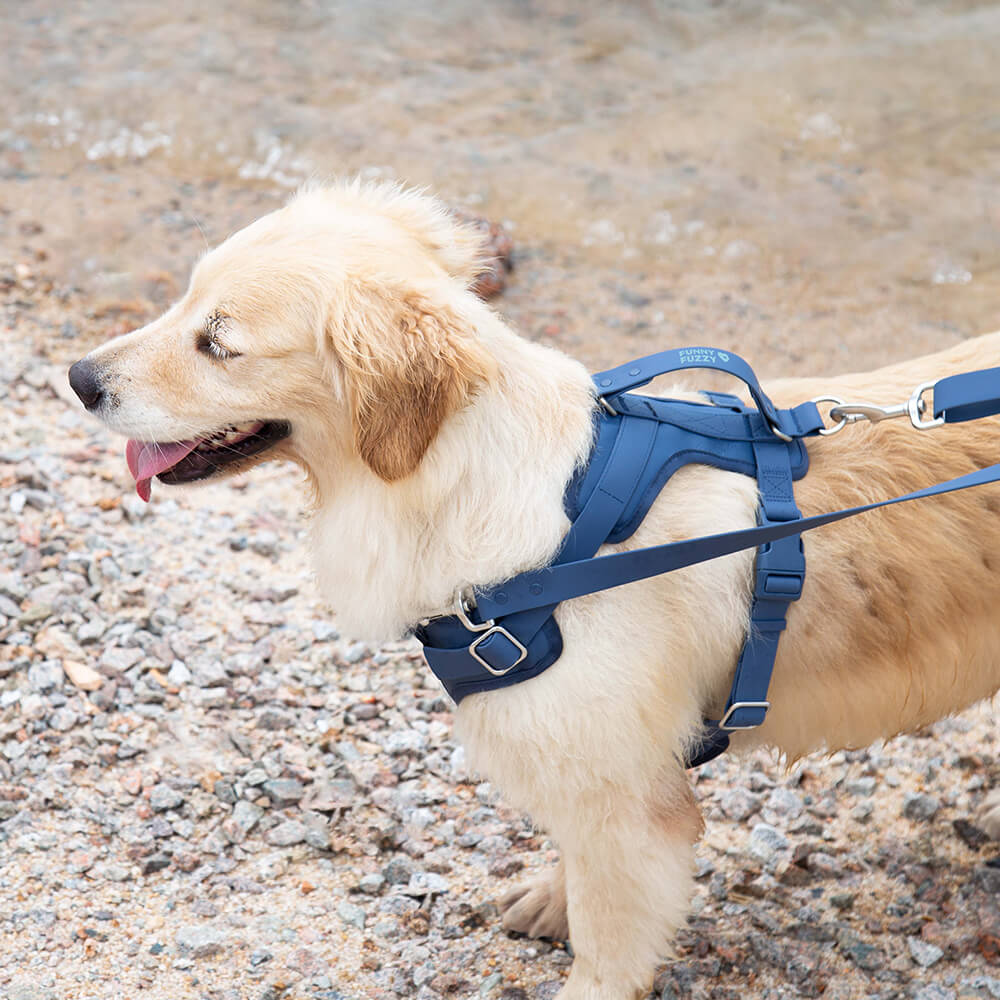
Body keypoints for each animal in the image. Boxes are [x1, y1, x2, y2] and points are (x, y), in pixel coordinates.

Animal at [68, 182, 1000, 1000]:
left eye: (219, 343)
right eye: (184, 299)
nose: (78, 378)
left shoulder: (625, 797)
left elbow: (611, 934)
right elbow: (582, 869)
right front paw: (553, 898)